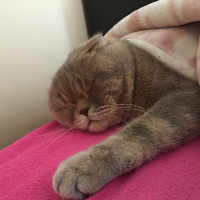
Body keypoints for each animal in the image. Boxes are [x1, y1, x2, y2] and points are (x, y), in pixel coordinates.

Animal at [48, 34, 200, 200]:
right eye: (66, 105)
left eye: (89, 85)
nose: (83, 110)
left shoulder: (184, 95)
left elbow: (135, 134)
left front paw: (83, 166)